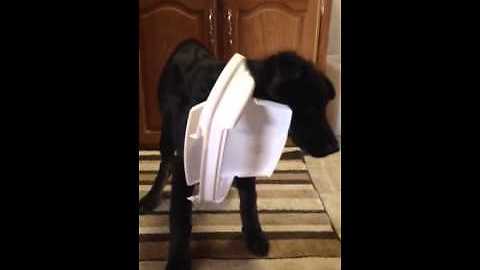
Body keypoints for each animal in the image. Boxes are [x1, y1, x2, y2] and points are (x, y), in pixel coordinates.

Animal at [140, 39, 338, 270]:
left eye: (323, 107)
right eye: (309, 108)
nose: (335, 148)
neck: (246, 106)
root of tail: (188, 42)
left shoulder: (245, 156)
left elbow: (249, 200)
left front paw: (254, 235)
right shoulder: (184, 165)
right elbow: (180, 218)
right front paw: (178, 260)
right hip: (166, 130)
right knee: (164, 164)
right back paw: (151, 198)